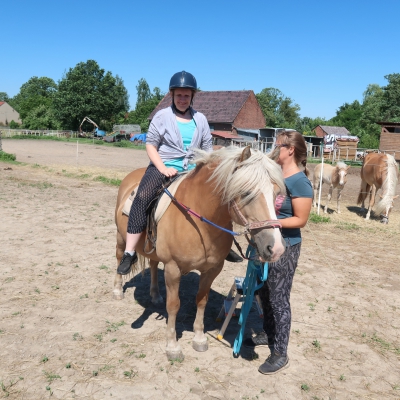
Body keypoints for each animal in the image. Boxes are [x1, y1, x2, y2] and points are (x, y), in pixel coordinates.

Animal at [113, 146, 286, 361]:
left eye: (277, 194)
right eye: (246, 192)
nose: (276, 248)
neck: (200, 221)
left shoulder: (212, 269)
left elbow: (202, 300)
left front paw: (199, 338)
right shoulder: (172, 268)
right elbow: (173, 305)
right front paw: (172, 346)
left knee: (153, 265)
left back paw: (155, 295)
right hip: (121, 237)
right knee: (120, 257)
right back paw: (118, 289)